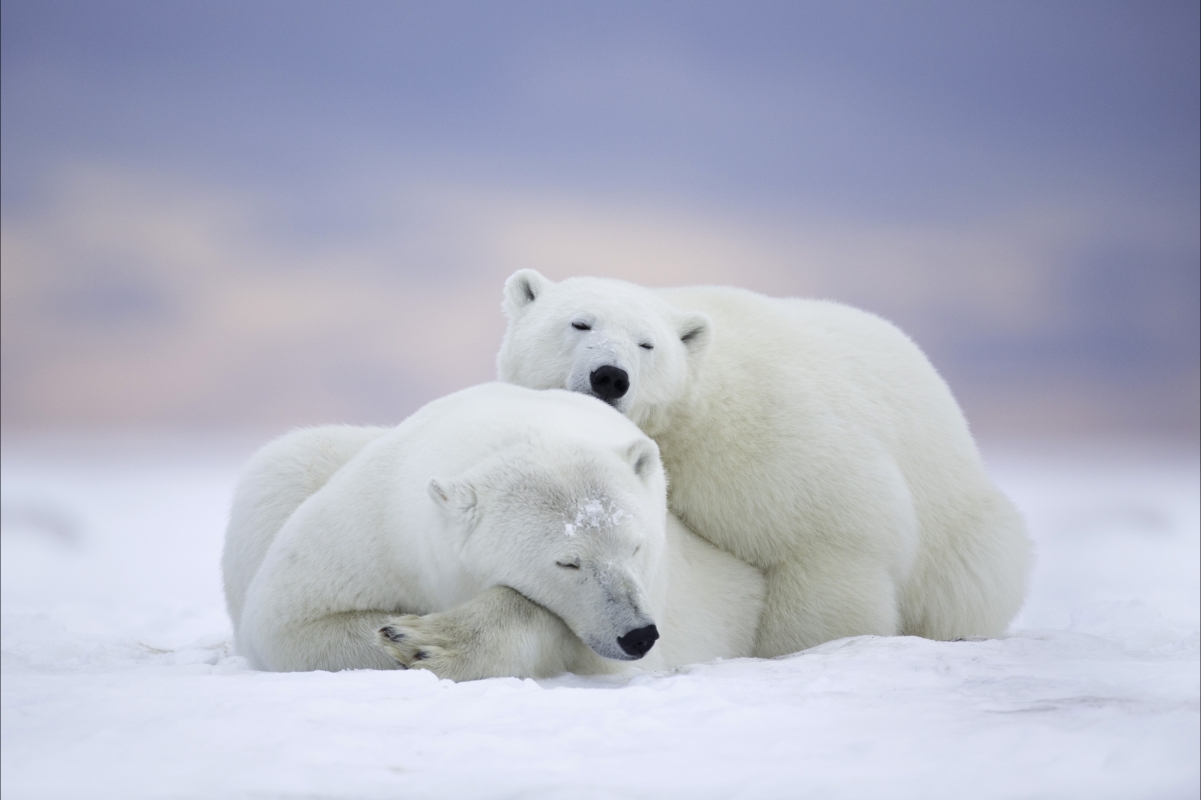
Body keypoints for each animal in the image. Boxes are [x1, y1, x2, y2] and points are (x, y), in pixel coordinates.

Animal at [222, 384, 763, 677]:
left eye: (636, 546)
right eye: (568, 561)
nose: (638, 635)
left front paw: (427, 640)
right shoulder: (375, 527)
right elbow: (289, 622)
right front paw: (402, 634)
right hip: (288, 471)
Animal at [497, 271, 1032, 658]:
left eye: (647, 344)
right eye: (579, 323)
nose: (610, 376)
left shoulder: (769, 441)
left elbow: (830, 539)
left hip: (960, 529)